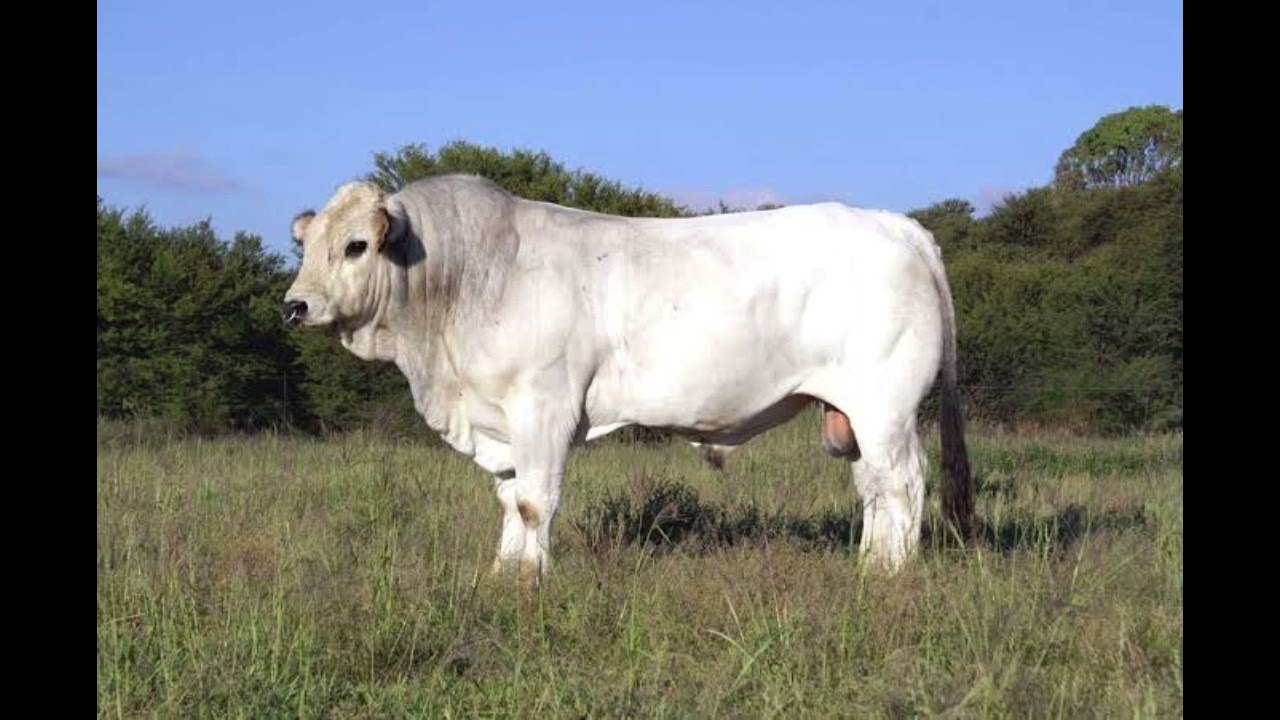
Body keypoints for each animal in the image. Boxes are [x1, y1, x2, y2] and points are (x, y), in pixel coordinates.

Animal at [284, 174, 973, 583]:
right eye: (306, 246)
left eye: (355, 246)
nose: (295, 305)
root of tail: (894, 224)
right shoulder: (500, 421)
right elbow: (510, 497)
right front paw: (506, 573)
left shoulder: (544, 406)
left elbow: (535, 501)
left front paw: (533, 582)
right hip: (851, 413)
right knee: (873, 490)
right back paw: (872, 564)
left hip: (886, 407)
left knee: (903, 484)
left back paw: (893, 576)